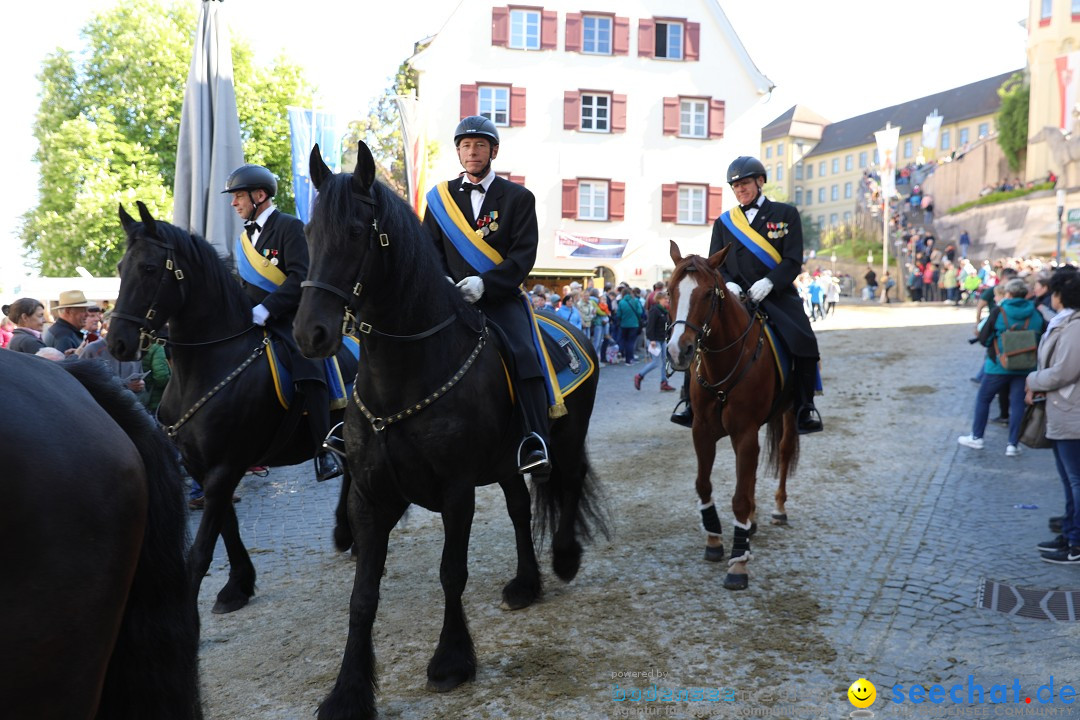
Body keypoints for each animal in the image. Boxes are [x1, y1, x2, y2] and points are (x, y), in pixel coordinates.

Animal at [108, 201, 349, 613]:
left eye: (150, 268)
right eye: (122, 267)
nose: (117, 344)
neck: (210, 363)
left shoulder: (225, 465)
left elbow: (202, 550)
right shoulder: (202, 467)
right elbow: (228, 527)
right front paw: (238, 585)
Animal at [293, 142, 609, 720]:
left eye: (356, 230)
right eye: (307, 232)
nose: (310, 334)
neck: (404, 374)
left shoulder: (457, 491)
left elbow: (450, 572)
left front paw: (452, 660)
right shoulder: (370, 497)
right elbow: (362, 596)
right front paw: (348, 690)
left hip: (566, 437)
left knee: (569, 481)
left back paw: (564, 558)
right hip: (506, 459)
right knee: (519, 507)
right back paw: (526, 583)